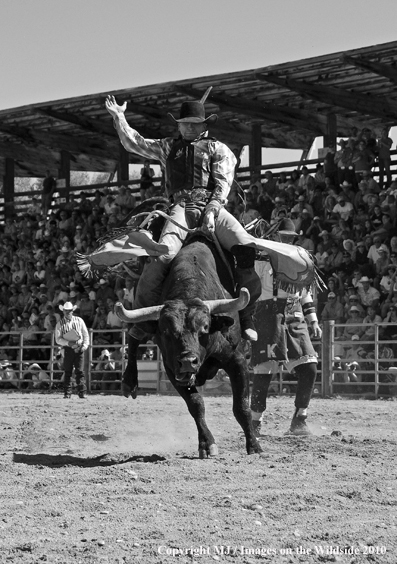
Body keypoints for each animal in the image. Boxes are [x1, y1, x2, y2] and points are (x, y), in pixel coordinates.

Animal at [114, 235, 262, 458]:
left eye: (205, 328)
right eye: (165, 332)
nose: (187, 362)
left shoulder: (236, 360)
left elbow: (242, 406)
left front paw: (254, 445)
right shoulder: (171, 369)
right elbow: (196, 405)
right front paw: (207, 444)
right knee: (133, 338)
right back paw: (129, 381)